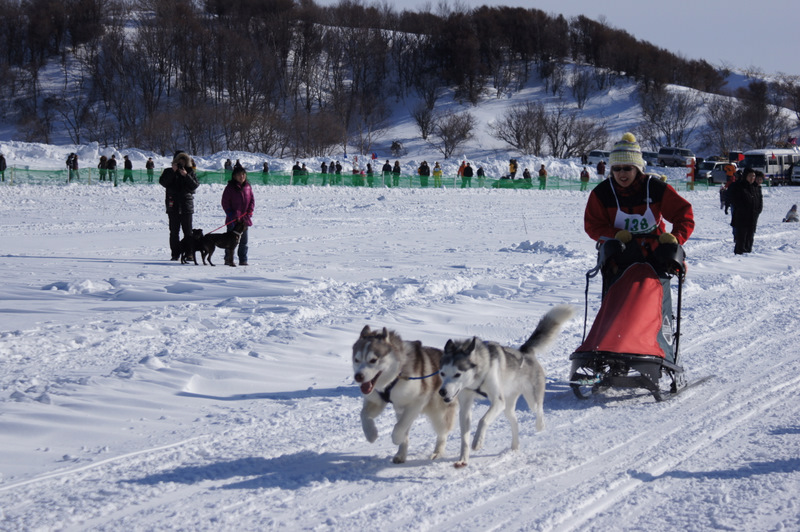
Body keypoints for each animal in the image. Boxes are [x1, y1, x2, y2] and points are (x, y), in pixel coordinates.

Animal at [352, 324, 456, 462]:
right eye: (356, 359)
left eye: (373, 360)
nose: (358, 376)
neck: (395, 376)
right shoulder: (376, 402)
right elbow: (363, 415)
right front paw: (371, 434)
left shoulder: (416, 402)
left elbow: (399, 427)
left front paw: (396, 438)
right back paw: (401, 454)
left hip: (439, 412)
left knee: (442, 433)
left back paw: (437, 453)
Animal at [438, 306, 576, 468]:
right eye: (442, 373)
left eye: (457, 374)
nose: (442, 391)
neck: (477, 377)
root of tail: (525, 351)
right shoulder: (466, 406)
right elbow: (464, 437)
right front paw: (463, 459)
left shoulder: (498, 401)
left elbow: (483, 420)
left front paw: (478, 441)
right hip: (507, 407)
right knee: (515, 422)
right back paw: (515, 446)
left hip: (529, 400)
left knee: (539, 408)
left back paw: (540, 425)